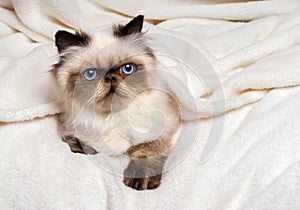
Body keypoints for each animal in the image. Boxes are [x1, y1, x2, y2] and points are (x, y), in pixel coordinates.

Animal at [51, 15, 180, 190]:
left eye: (127, 69)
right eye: (90, 74)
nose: (110, 77)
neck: (112, 117)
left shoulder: (161, 131)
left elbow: (146, 152)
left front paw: (141, 181)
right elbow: (80, 143)